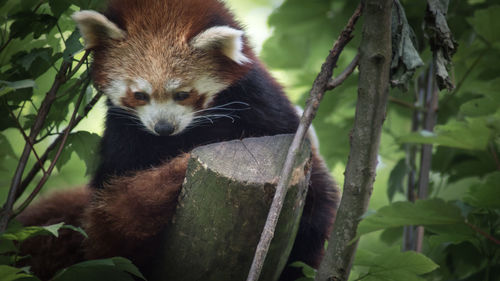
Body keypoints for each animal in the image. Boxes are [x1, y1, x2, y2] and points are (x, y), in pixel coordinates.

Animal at [18, 0, 340, 278]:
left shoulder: (263, 106)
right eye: (140, 94)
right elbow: (110, 213)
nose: (163, 127)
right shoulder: (123, 136)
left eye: (183, 94)